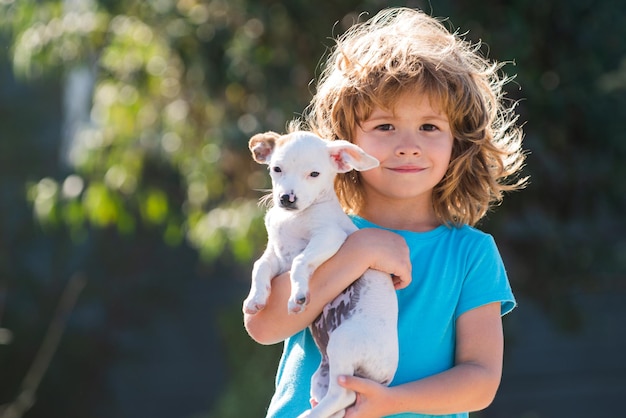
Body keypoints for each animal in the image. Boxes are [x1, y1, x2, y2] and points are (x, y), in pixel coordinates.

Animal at [241, 131, 398, 418]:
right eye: (276, 169)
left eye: (314, 174)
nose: (287, 198)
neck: (292, 219)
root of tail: (384, 379)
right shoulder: (275, 255)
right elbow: (260, 267)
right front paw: (255, 299)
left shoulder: (328, 237)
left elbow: (300, 261)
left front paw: (298, 295)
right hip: (323, 375)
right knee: (337, 405)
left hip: (342, 343)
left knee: (343, 395)